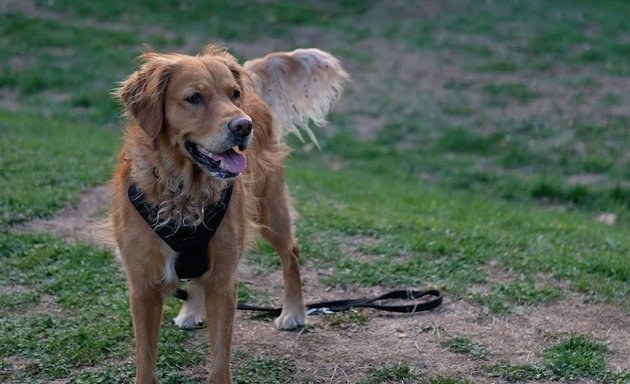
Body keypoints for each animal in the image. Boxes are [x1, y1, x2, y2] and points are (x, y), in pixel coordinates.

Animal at [108, 45, 346, 384]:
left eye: (233, 94)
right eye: (194, 97)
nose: (244, 126)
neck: (186, 191)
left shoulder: (223, 282)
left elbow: (220, 359)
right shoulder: (143, 285)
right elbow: (146, 362)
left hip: (271, 208)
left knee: (291, 253)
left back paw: (293, 312)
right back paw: (191, 311)